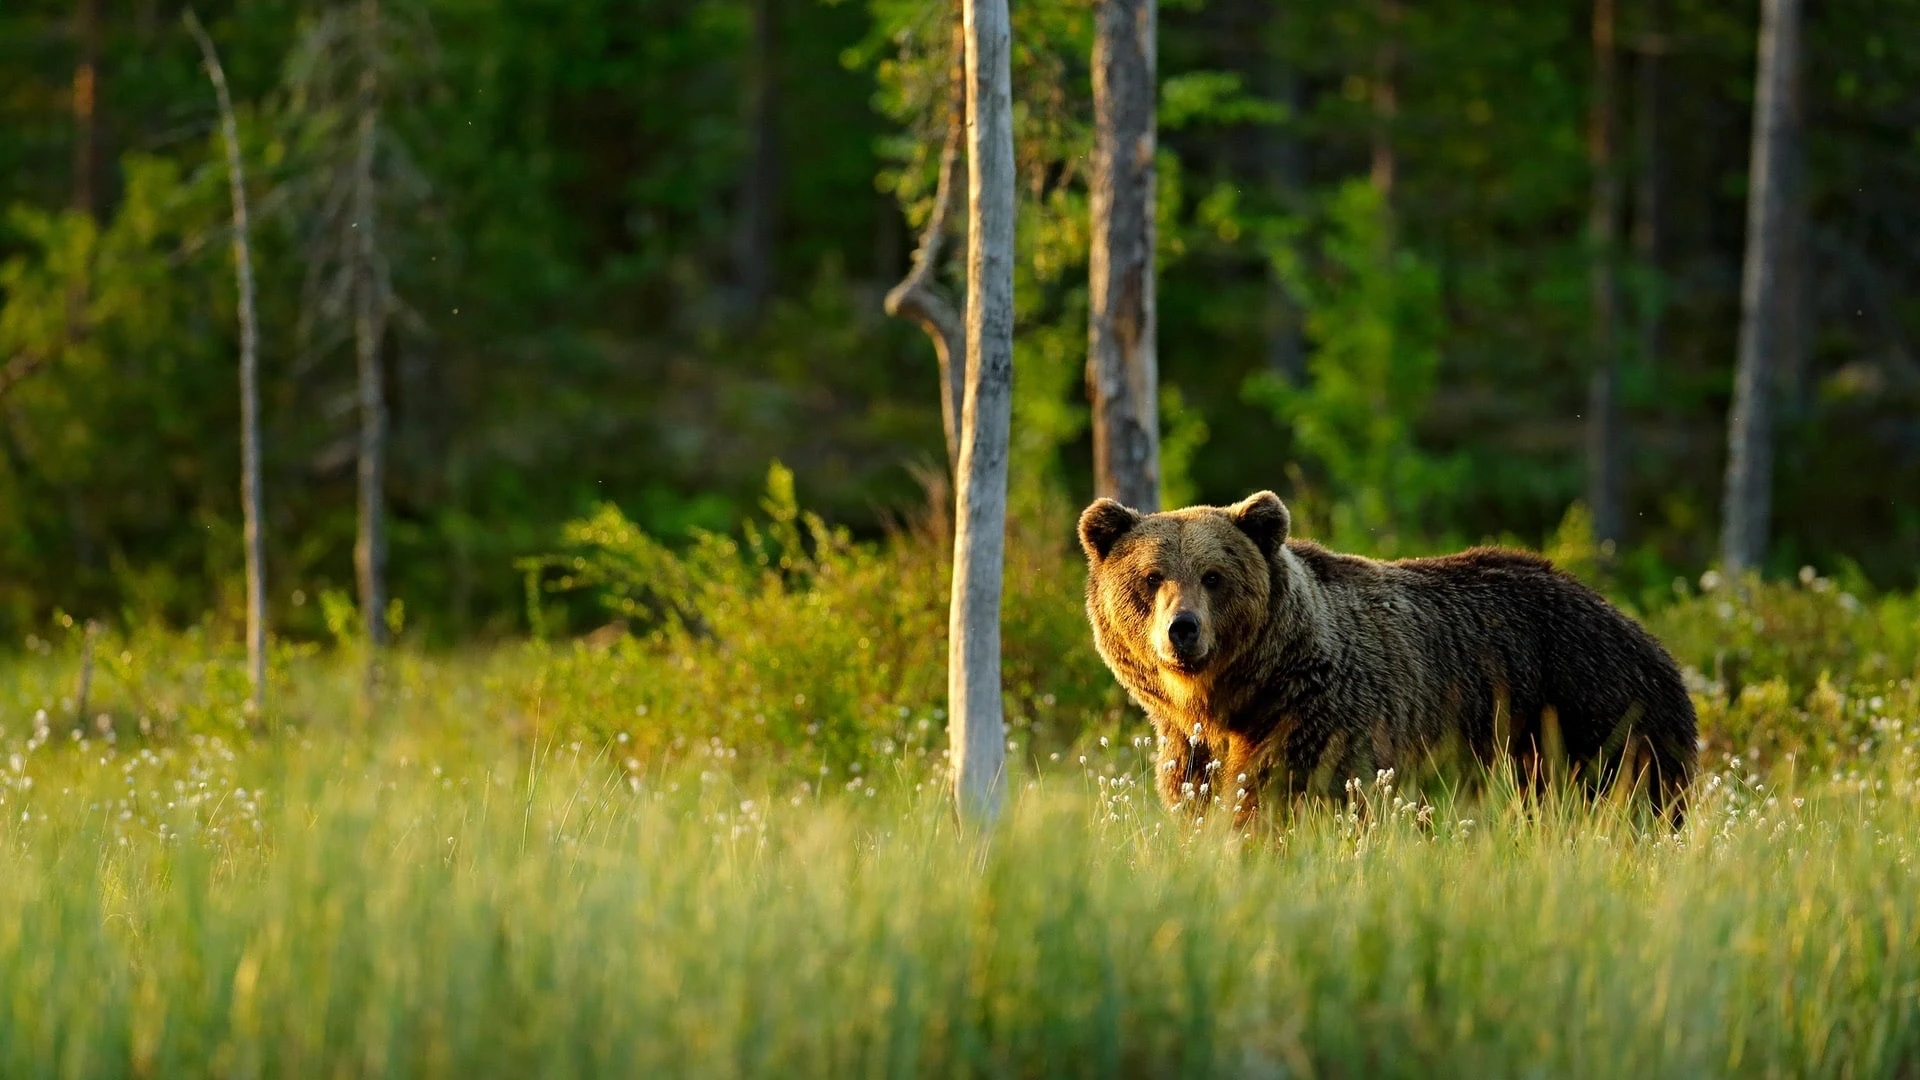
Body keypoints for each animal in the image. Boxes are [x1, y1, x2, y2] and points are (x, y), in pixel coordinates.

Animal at [1077, 490, 1697, 825]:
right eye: (1151, 577)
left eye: (1213, 576)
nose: (1182, 630)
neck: (1240, 697)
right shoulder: (1191, 748)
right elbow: (1200, 799)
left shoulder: (1321, 720)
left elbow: (1282, 800)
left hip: (1593, 717)